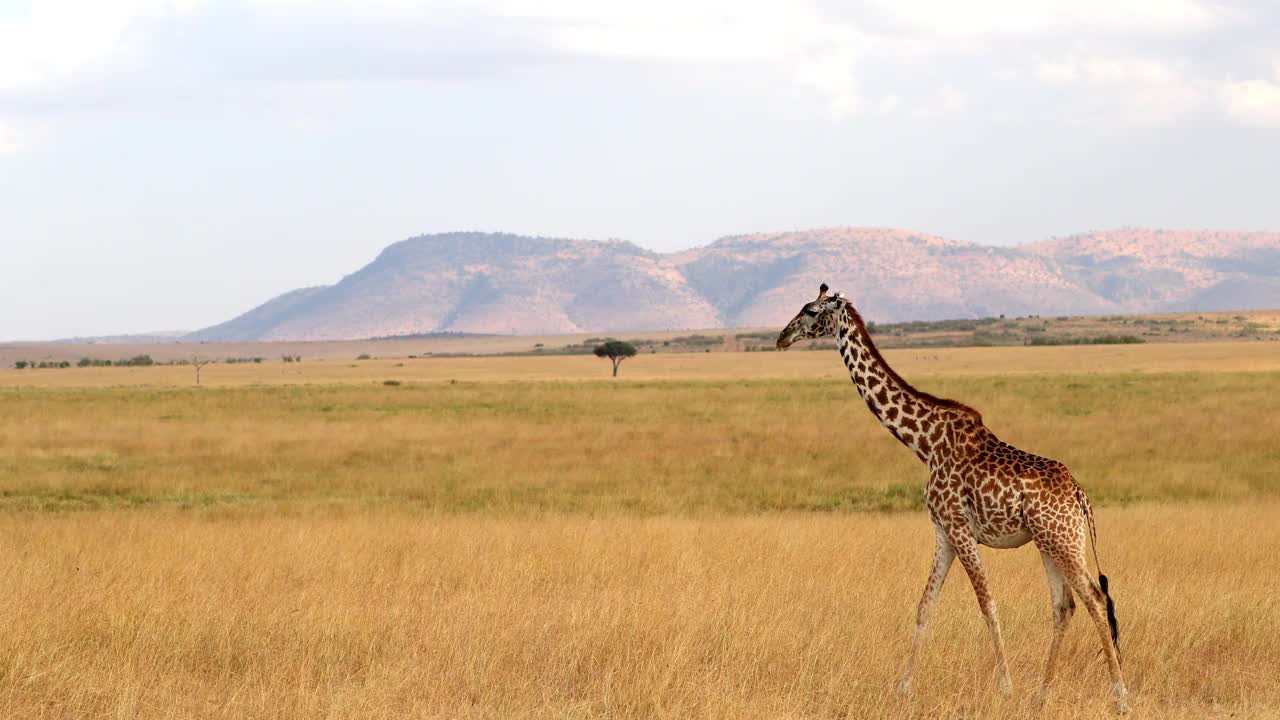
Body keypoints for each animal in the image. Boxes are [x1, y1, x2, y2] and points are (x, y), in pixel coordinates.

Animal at [773, 283, 1126, 707]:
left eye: (811, 311)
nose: (781, 338)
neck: (924, 443)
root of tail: (1079, 494)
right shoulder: (942, 532)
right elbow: (925, 606)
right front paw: (903, 688)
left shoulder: (959, 528)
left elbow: (987, 603)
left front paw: (1005, 687)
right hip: (1050, 542)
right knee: (1064, 606)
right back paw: (1042, 695)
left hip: (1063, 540)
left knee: (1095, 599)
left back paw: (1120, 696)